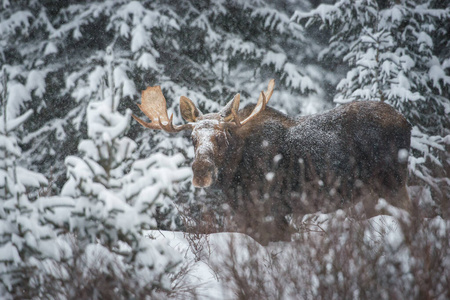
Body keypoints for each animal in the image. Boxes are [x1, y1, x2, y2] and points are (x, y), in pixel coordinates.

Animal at [133, 79, 412, 244]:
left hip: (393, 184)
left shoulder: (270, 211)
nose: (201, 170)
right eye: (192, 138)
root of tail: (406, 122)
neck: (233, 177)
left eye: (221, 136)